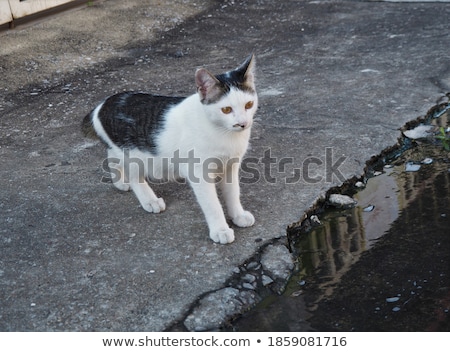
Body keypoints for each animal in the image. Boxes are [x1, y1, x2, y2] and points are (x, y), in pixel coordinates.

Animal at [81, 55, 256, 243]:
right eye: (226, 109)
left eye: (249, 104)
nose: (243, 123)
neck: (224, 133)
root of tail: (103, 104)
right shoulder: (198, 172)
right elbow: (212, 203)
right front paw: (220, 230)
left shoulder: (231, 165)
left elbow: (233, 192)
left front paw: (238, 215)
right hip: (131, 153)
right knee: (133, 175)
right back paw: (149, 200)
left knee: (111, 156)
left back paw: (119, 181)